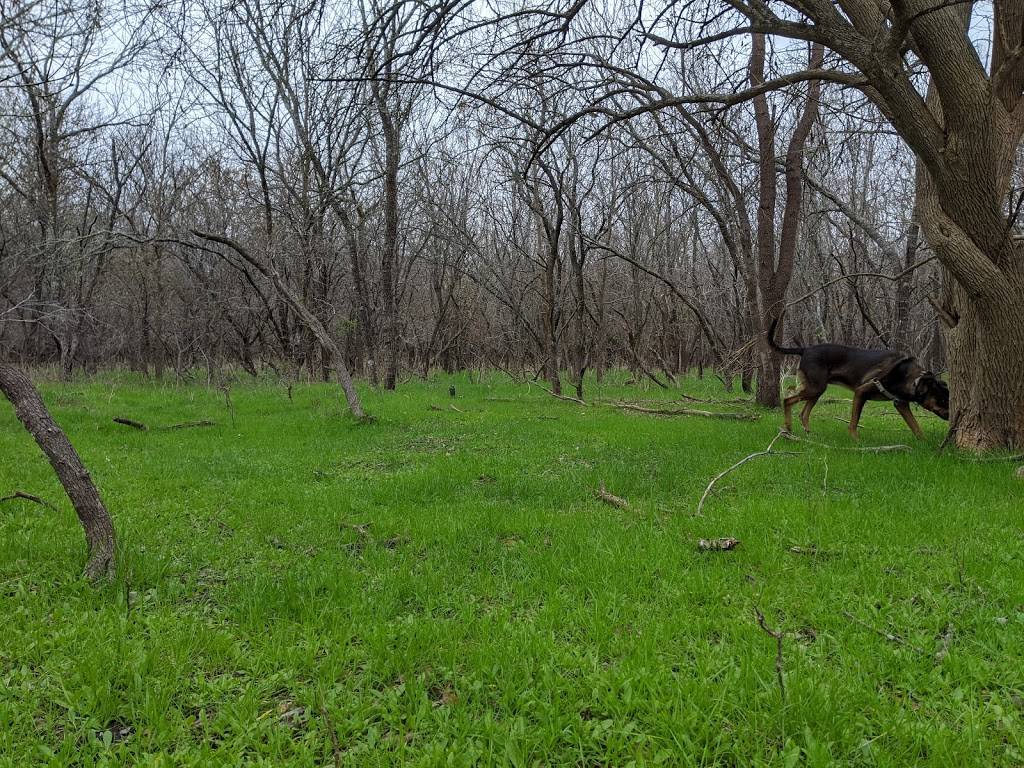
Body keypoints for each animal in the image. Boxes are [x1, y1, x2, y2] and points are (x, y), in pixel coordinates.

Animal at [770, 317, 950, 438]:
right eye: (941, 400)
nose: (950, 417)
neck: (909, 378)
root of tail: (805, 349)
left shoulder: (901, 404)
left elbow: (916, 427)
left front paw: (924, 443)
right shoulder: (861, 392)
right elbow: (853, 423)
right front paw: (855, 441)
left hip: (817, 390)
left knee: (803, 413)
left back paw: (808, 432)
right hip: (815, 388)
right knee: (788, 401)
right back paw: (788, 428)